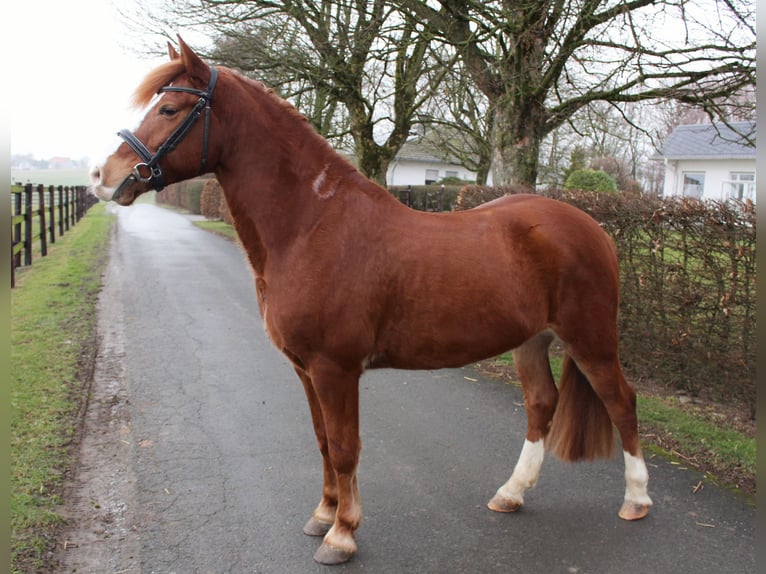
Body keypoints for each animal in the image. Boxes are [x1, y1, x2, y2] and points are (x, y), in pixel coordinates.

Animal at [90, 37, 652, 565]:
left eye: (170, 109)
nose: (103, 177)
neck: (313, 225)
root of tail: (594, 228)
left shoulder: (334, 368)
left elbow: (344, 448)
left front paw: (342, 535)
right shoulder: (305, 369)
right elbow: (321, 441)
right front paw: (323, 514)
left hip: (590, 339)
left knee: (622, 402)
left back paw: (636, 500)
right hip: (533, 341)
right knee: (541, 404)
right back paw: (511, 494)